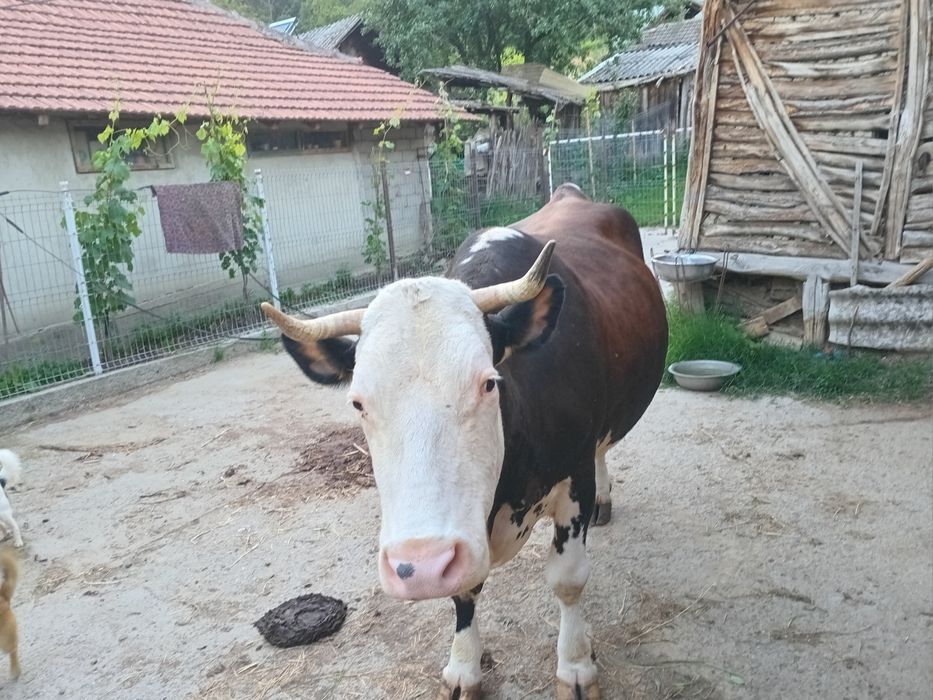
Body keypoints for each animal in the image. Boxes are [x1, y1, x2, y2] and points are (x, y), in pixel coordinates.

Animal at [260, 184, 668, 699]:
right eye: (357, 402)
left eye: (489, 383)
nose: (420, 565)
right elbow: (464, 592)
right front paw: (464, 668)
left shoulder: (572, 478)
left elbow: (568, 580)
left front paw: (576, 667)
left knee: (601, 449)